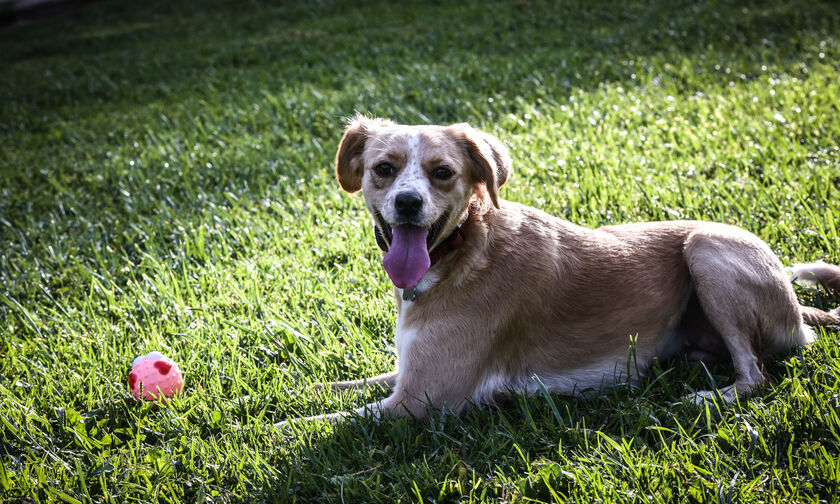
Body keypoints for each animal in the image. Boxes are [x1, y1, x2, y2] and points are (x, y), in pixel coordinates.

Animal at [278, 116, 840, 428]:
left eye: (442, 173)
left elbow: (308, 426)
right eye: (384, 169)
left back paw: (707, 397)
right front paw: (296, 391)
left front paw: (262, 429)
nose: (409, 203)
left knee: (757, 375)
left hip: (706, 247)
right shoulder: (411, 374)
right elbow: (348, 385)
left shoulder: (420, 402)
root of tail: (797, 307)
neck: (463, 251)